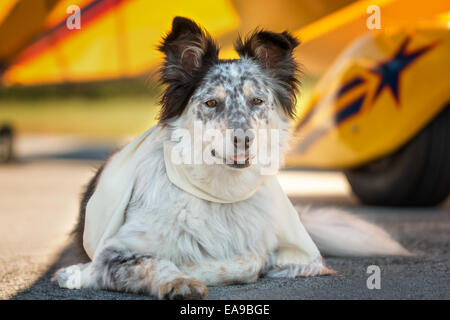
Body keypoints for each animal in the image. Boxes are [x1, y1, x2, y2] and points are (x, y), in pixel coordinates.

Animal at [51, 17, 408, 298]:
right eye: (211, 103)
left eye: (257, 101)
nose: (243, 141)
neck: (218, 193)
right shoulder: (114, 251)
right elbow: (155, 262)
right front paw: (178, 279)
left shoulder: (267, 249)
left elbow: (247, 262)